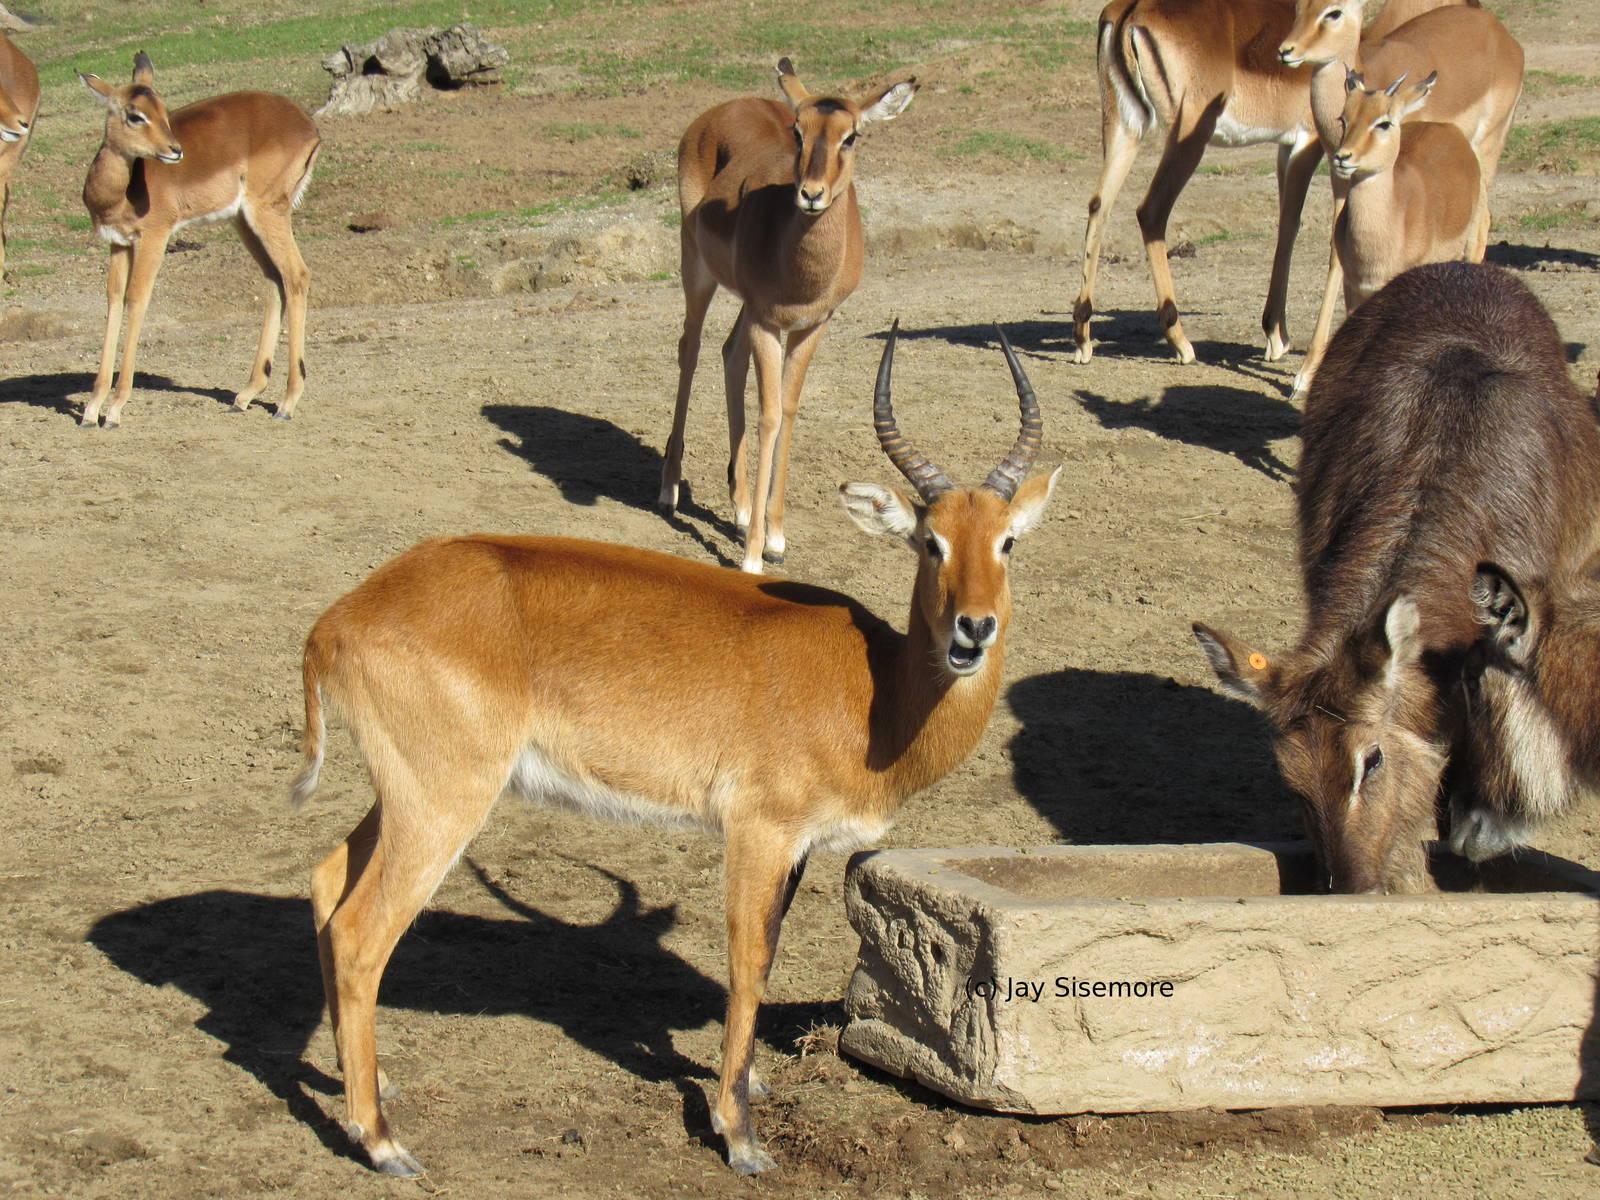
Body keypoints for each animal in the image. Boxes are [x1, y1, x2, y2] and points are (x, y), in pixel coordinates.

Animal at [78, 53, 320, 428]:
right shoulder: (118, 243)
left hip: (268, 213)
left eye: (163, 109)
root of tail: (308, 126)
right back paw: (244, 396)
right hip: (244, 220)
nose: (175, 150)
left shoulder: (154, 237)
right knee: (274, 278)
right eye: (135, 114)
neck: (121, 192)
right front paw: (91, 409)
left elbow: (136, 300)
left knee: (297, 274)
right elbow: (114, 301)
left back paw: (286, 403)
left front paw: (115, 410)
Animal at [295, 326, 1059, 1176]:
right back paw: (383, 1140)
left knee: (326, 884)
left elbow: (770, 950)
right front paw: (739, 1135)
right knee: (361, 935)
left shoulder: (797, 849)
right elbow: (748, 961)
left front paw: (749, 1086)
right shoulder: (758, 832)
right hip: (443, 804)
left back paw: (366, 1085)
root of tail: (338, 619)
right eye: (930, 542)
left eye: (1008, 541)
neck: (876, 693)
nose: (973, 629)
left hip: (404, 796)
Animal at [658, 58, 917, 573]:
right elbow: (770, 417)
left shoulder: (810, 325)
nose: (811, 194)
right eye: (799, 131)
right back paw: (669, 490)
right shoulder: (768, 321)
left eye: (851, 136)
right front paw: (753, 557)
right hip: (696, 267)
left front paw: (775, 538)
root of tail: (726, 107)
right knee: (690, 350)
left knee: (729, 353)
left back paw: (739, 509)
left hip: (743, 304)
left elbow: (791, 411)